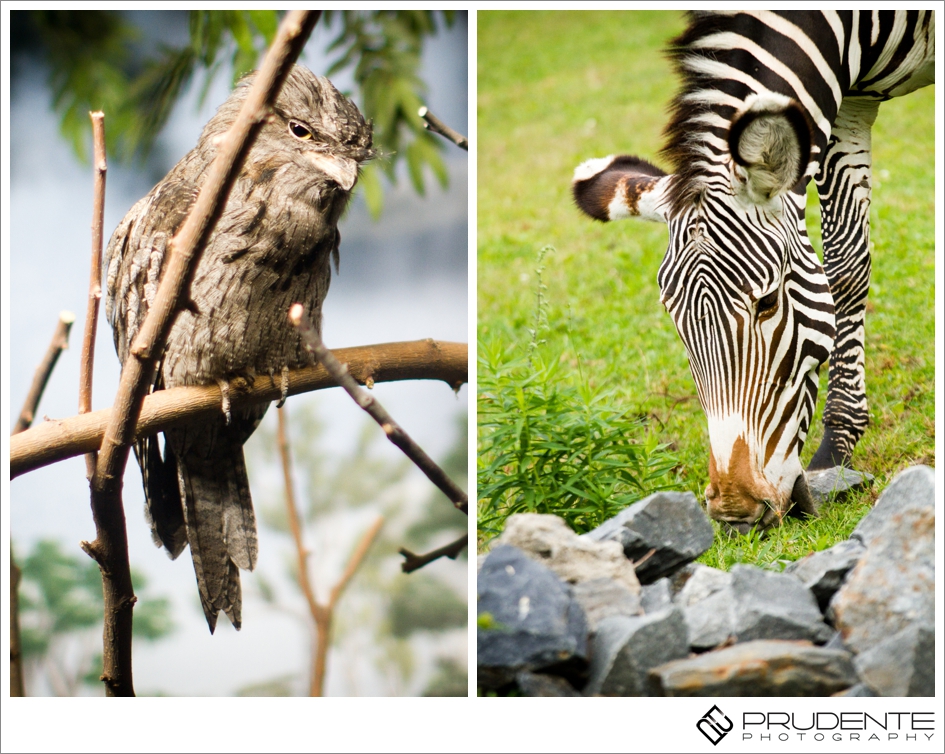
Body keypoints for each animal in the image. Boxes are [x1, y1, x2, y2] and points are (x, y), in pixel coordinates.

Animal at [572, 10, 932, 528]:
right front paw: (839, 447)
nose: (735, 511)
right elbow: (848, 260)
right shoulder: (848, 102)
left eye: (767, 302)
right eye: (674, 321)